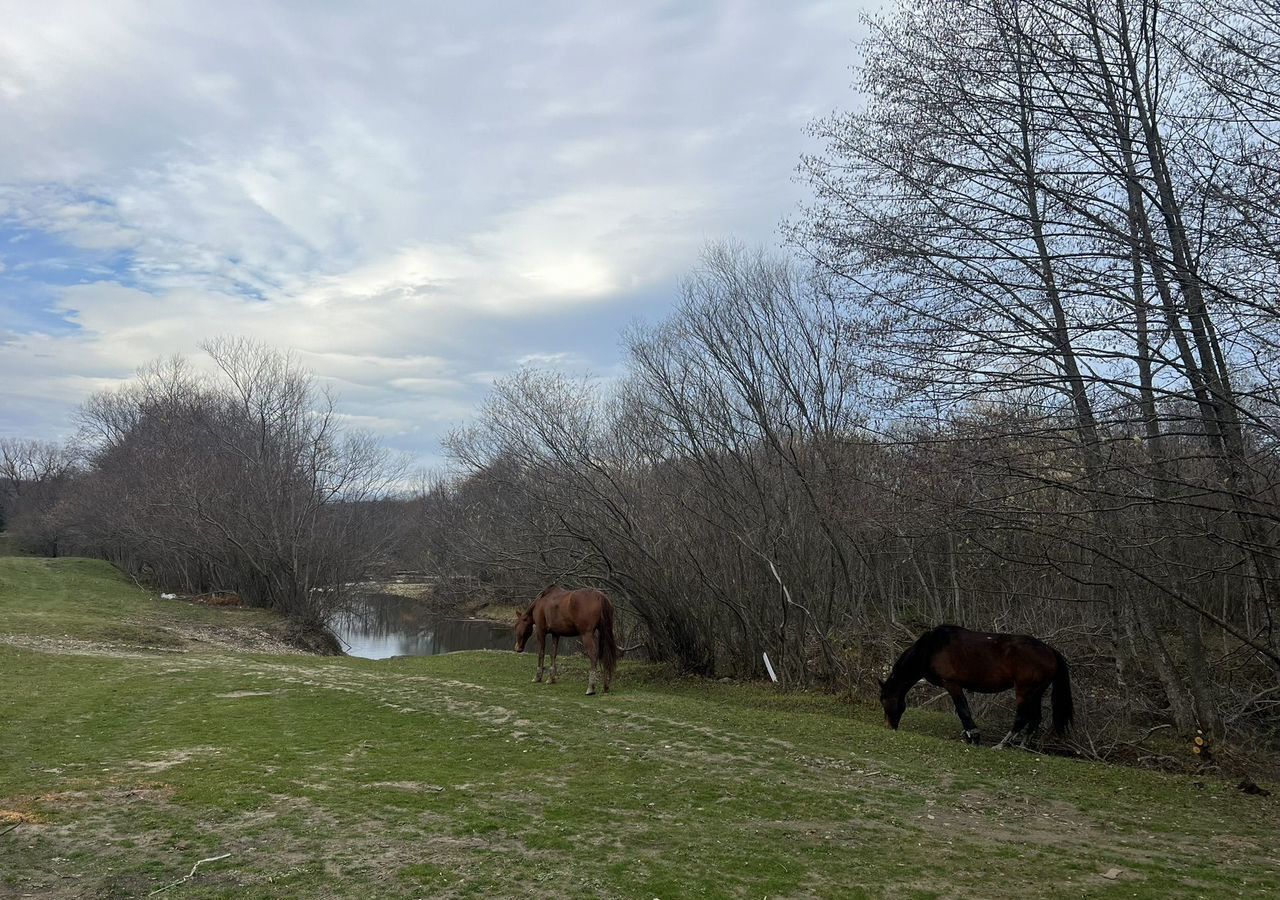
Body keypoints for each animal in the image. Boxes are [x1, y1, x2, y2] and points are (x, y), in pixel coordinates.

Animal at [880, 622, 1070, 747]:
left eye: (884, 701)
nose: (889, 727)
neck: (931, 648)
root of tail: (1049, 650)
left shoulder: (952, 684)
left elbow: (963, 710)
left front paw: (974, 736)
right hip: (1036, 692)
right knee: (1036, 718)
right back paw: (1023, 746)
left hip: (1024, 691)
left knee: (1022, 718)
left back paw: (1001, 745)